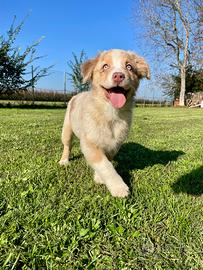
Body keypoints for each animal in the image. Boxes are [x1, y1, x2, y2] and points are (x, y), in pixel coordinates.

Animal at [59, 48, 150, 197]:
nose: (118, 76)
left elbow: (107, 160)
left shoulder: (114, 144)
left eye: (129, 67)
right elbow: (104, 164)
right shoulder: (89, 143)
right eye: (105, 66)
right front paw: (119, 187)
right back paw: (64, 161)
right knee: (67, 146)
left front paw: (99, 177)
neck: (111, 113)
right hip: (66, 129)